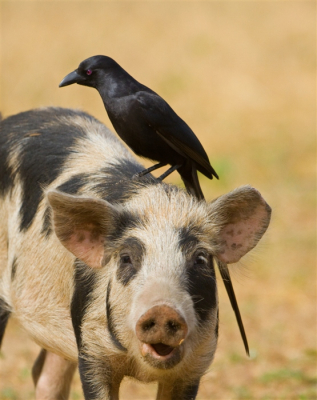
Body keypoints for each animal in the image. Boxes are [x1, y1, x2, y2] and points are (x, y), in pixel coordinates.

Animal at [0, 107, 272, 400]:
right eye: (126, 258)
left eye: (200, 259)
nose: (163, 310)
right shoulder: (91, 348)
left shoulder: (197, 362)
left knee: (44, 372)